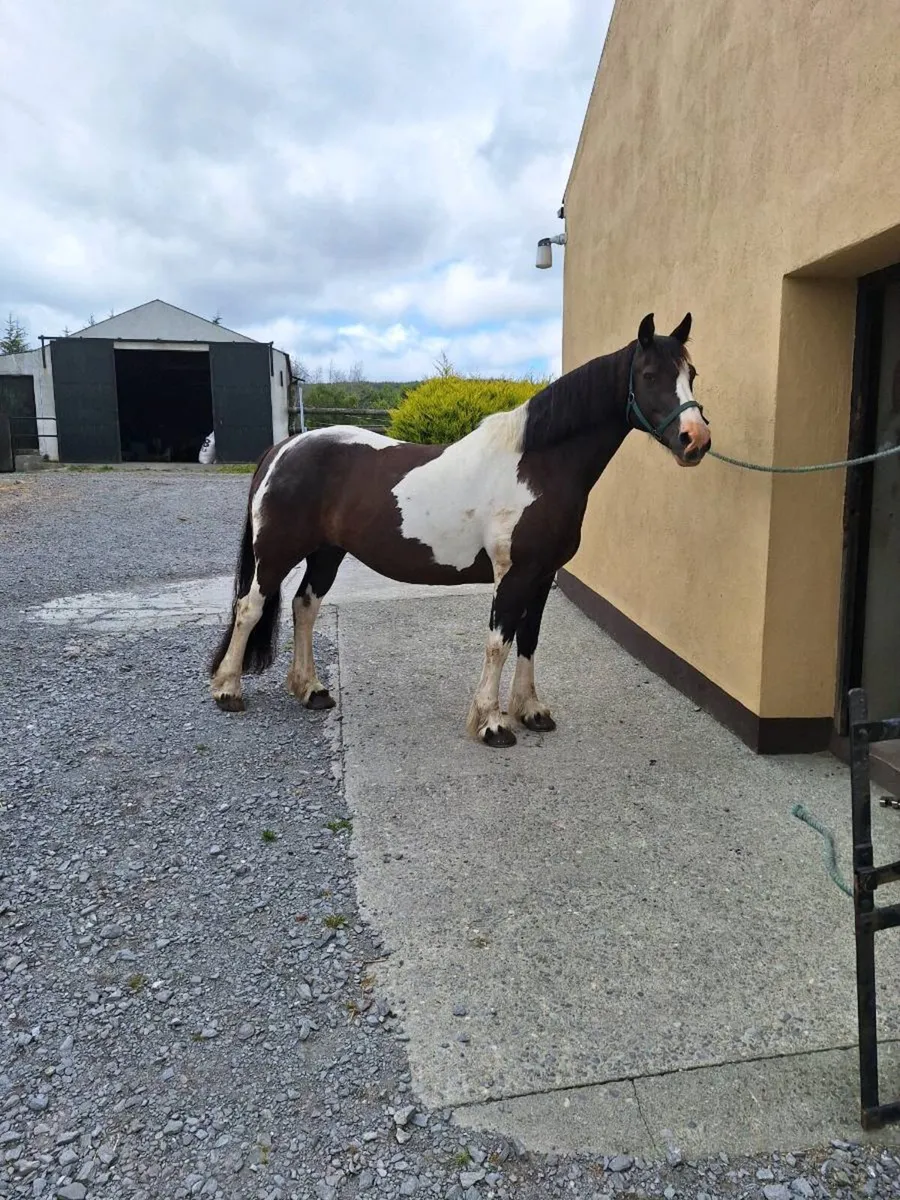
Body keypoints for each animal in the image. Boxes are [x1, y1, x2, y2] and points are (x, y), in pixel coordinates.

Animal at [209, 312, 710, 747]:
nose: (696, 440)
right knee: (250, 607)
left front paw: (531, 711)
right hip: (277, 552)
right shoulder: (515, 575)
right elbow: (499, 643)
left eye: (692, 373)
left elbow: (529, 640)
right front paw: (492, 723)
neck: (537, 465)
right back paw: (229, 690)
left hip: (327, 552)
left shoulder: (543, 575)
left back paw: (310, 689)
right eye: (649, 375)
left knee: (305, 606)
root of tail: (283, 448)